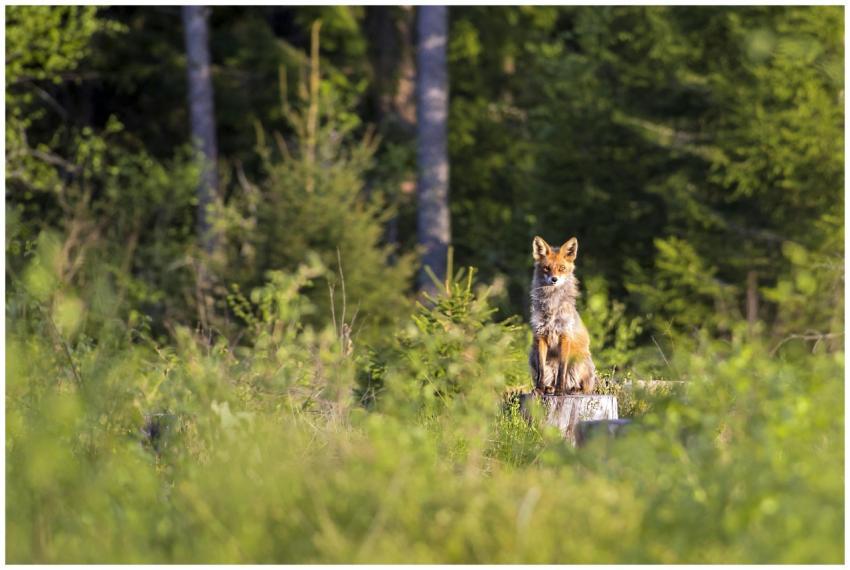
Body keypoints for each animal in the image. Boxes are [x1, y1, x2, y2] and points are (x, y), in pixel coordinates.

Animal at [528, 235, 598, 395]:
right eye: (546, 268)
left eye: (562, 268)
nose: (554, 279)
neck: (552, 307)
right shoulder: (541, 336)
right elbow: (541, 371)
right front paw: (539, 389)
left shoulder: (564, 336)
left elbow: (562, 370)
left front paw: (560, 391)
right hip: (532, 355)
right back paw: (549, 388)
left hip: (580, 360)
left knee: (583, 387)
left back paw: (572, 389)